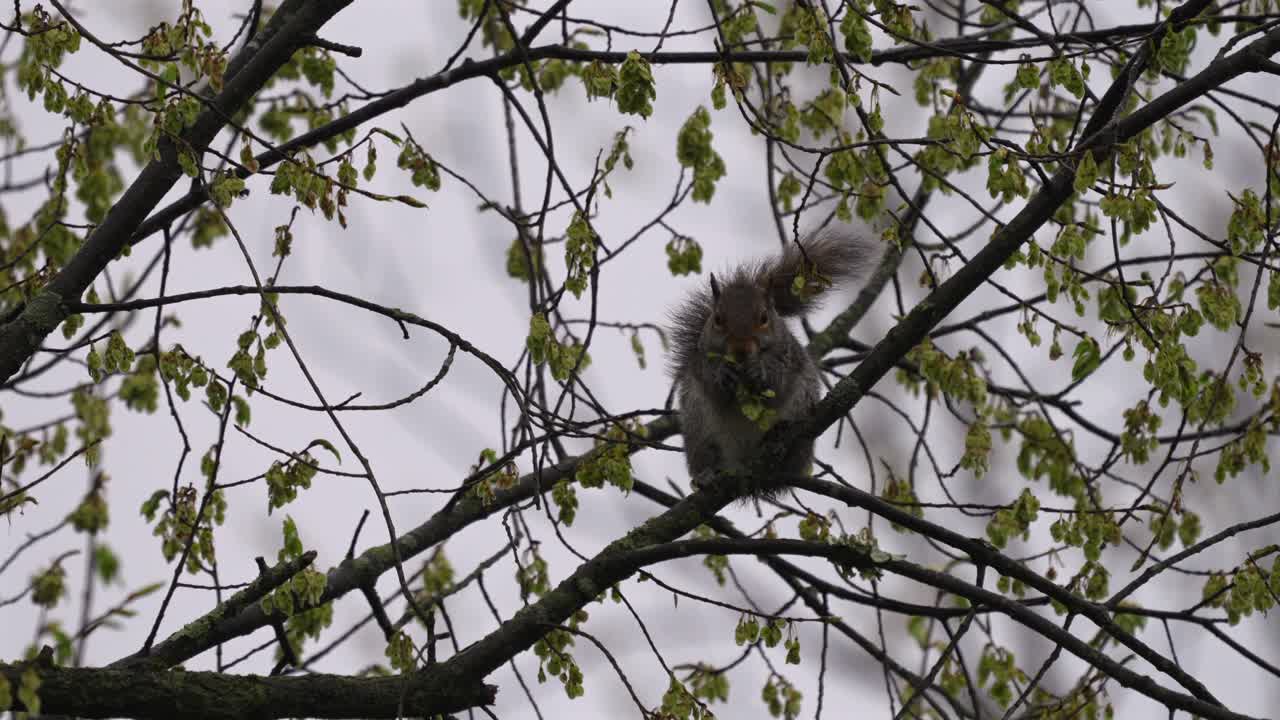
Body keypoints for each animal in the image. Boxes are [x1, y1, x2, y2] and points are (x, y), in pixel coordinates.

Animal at [668, 228, 875, 498]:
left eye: (764, 318)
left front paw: (761, 372)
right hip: (697, 428)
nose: (741, 350)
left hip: (801, 411)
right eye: (718, 319)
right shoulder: (700, 361)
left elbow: (779, 382)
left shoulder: (788, 356)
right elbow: (711, 383)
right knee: (707, 456)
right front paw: (722, 374)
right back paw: (707, 475)